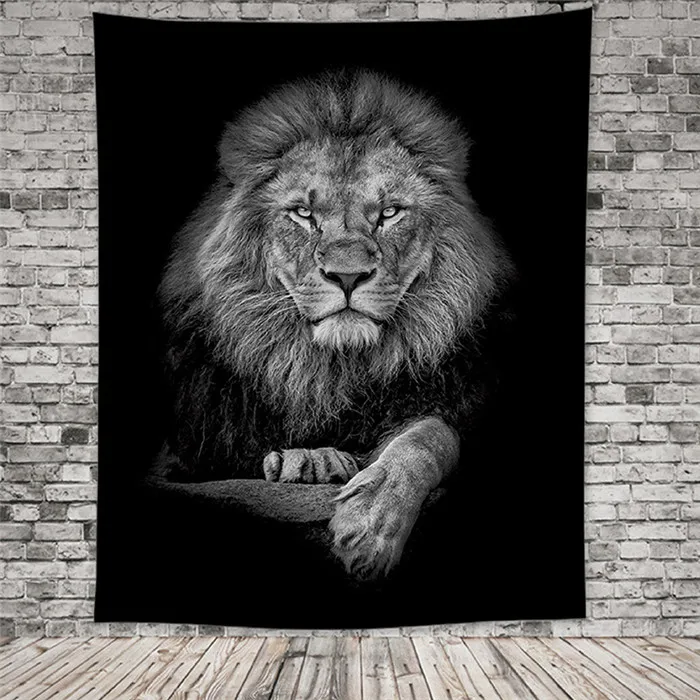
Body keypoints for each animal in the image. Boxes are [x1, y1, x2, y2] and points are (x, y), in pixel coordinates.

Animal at [156, 70, 516, 581]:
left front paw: (371, 524)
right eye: (304, 214)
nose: (347, 276)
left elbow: (429, 437)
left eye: (389, 213)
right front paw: (311, 459)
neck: (331, 370)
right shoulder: (186, 450)